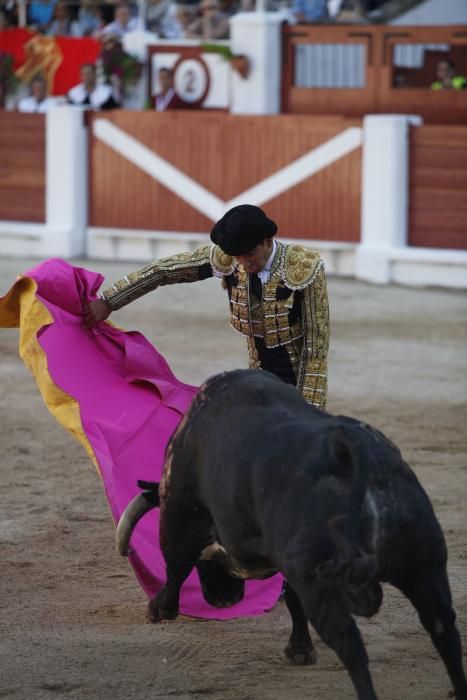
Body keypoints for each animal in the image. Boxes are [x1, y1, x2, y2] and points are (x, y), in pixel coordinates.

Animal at [117, 370, 467, 696]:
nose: (223, 599)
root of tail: (355, 456)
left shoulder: (178, 514)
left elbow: (175, 565)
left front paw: (159, 609)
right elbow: (292, 598)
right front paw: (300, 651)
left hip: (323, 586)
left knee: (353, 648)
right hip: (425, 567)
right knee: (444, 630)